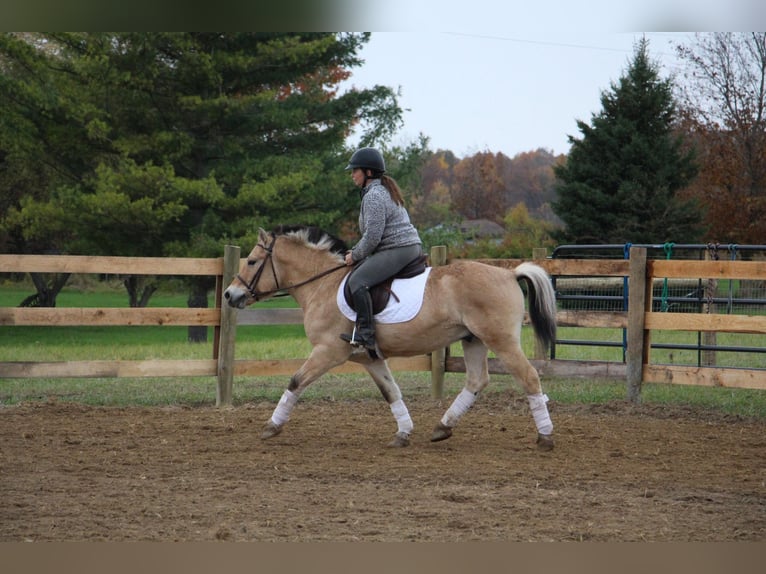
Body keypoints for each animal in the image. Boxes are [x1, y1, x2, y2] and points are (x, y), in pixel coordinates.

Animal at [222, 227, 560, 452]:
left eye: (251, 262)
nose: (229, 294)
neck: (322, 284)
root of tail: (509, 273)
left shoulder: (328, 351)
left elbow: (295, 381)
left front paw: (272, 426)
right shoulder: (369, 358)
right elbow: (391, 392)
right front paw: (403, 433)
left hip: (501, 341)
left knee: (529, 377)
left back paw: (545, 436)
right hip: (473, 340)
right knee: (477, 381)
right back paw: (442, 427)